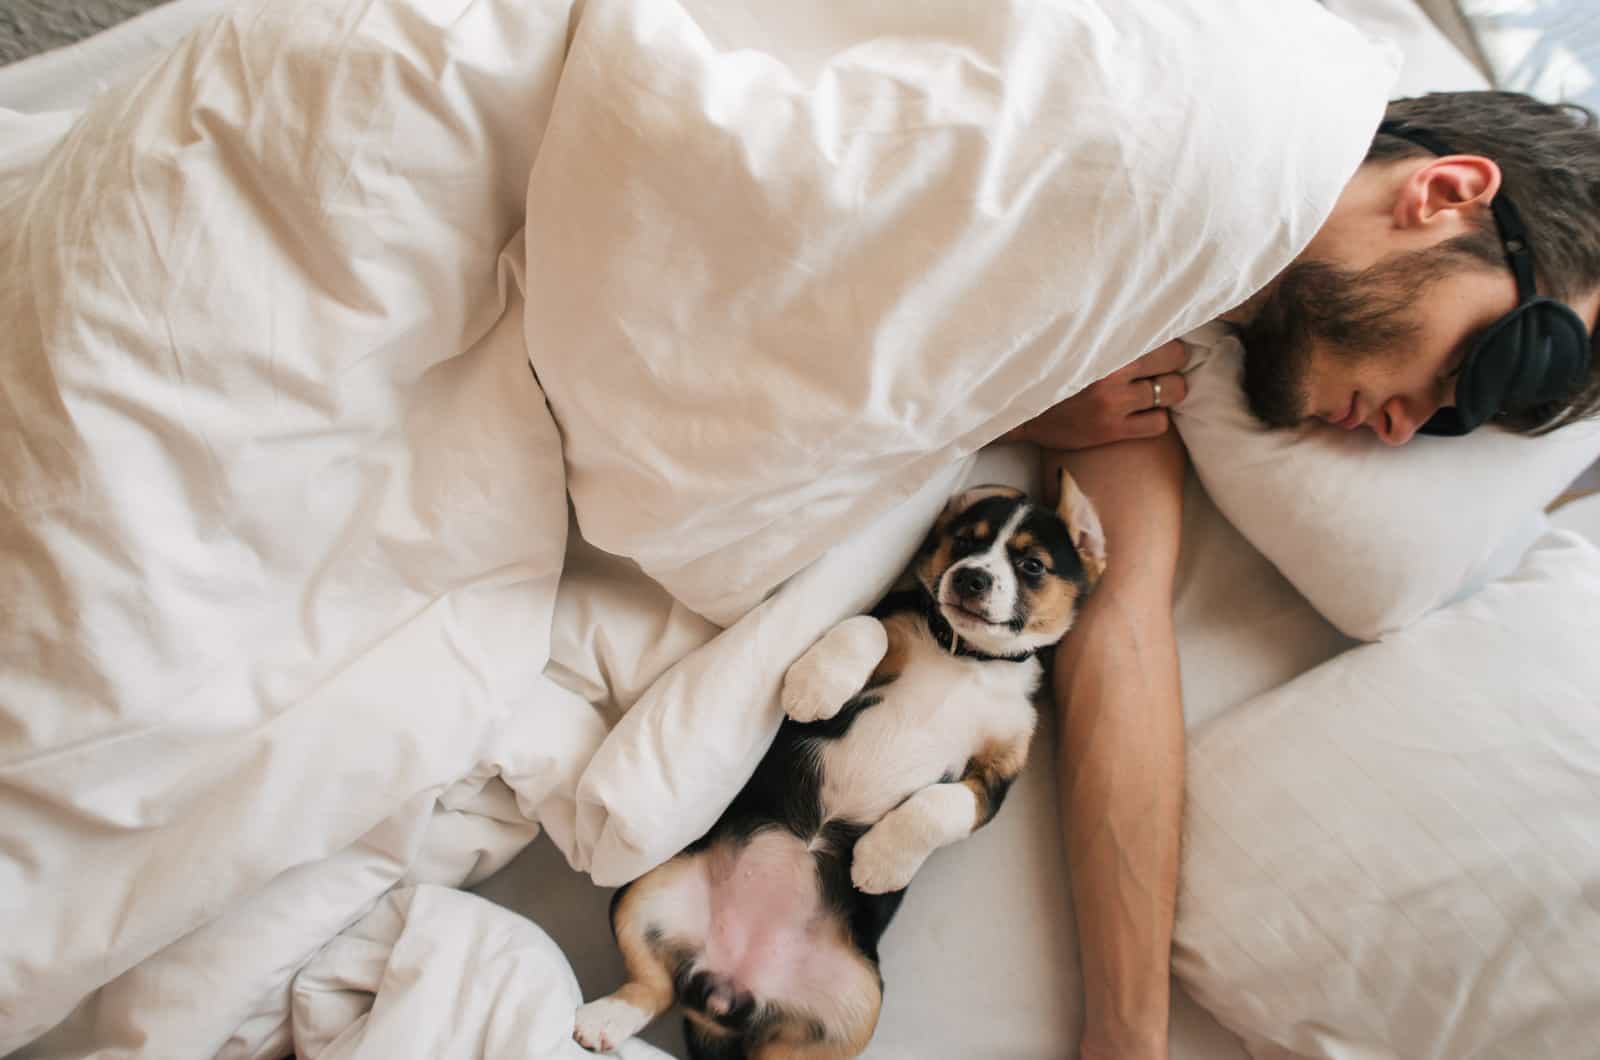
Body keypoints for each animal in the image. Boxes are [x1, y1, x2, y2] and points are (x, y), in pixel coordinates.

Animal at [576, 470, 1113, 1060]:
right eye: (963, 542)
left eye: (1032, 565)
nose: (970, 578)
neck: (968, 658)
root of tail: (726, 986)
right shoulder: (886, 624)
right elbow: (863, 626)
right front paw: (815, 689)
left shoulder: (998, 777)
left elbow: (940, 804)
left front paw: (879, 860)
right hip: (645, 894)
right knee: (652, 984)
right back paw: (602, 1019)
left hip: (856, 1008)